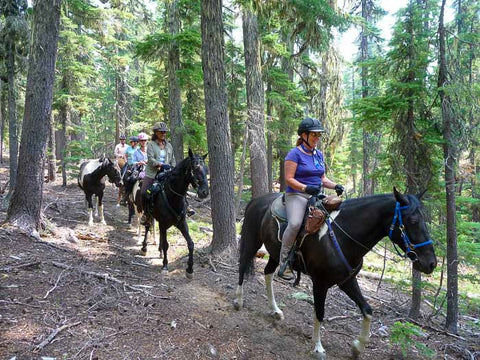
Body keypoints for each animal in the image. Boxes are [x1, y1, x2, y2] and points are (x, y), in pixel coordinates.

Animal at [141, 149, 208, 278]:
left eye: (206, 169)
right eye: (195, 167)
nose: (205, 192)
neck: (172, 196)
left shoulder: (181, 223)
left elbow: (191, 244)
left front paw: (190, 269)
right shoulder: (163, 223)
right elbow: (166, 244)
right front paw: (165, 265)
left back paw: (160, 251)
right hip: (149, 215)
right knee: (147, 227)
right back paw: (144, 248)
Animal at [234, 190, 436, 358]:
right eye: (413, 221)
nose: (431, 263)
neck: (342, 236)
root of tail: (257, 200)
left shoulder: (347, 281)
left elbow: (367, 310)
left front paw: (357, 347)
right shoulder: (320, 282)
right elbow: (320, 313)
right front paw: (318, 348)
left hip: (275, 254)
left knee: (267, 273)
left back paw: (275, 310)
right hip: (252, 242)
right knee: (242, 266)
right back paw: (238, 301)